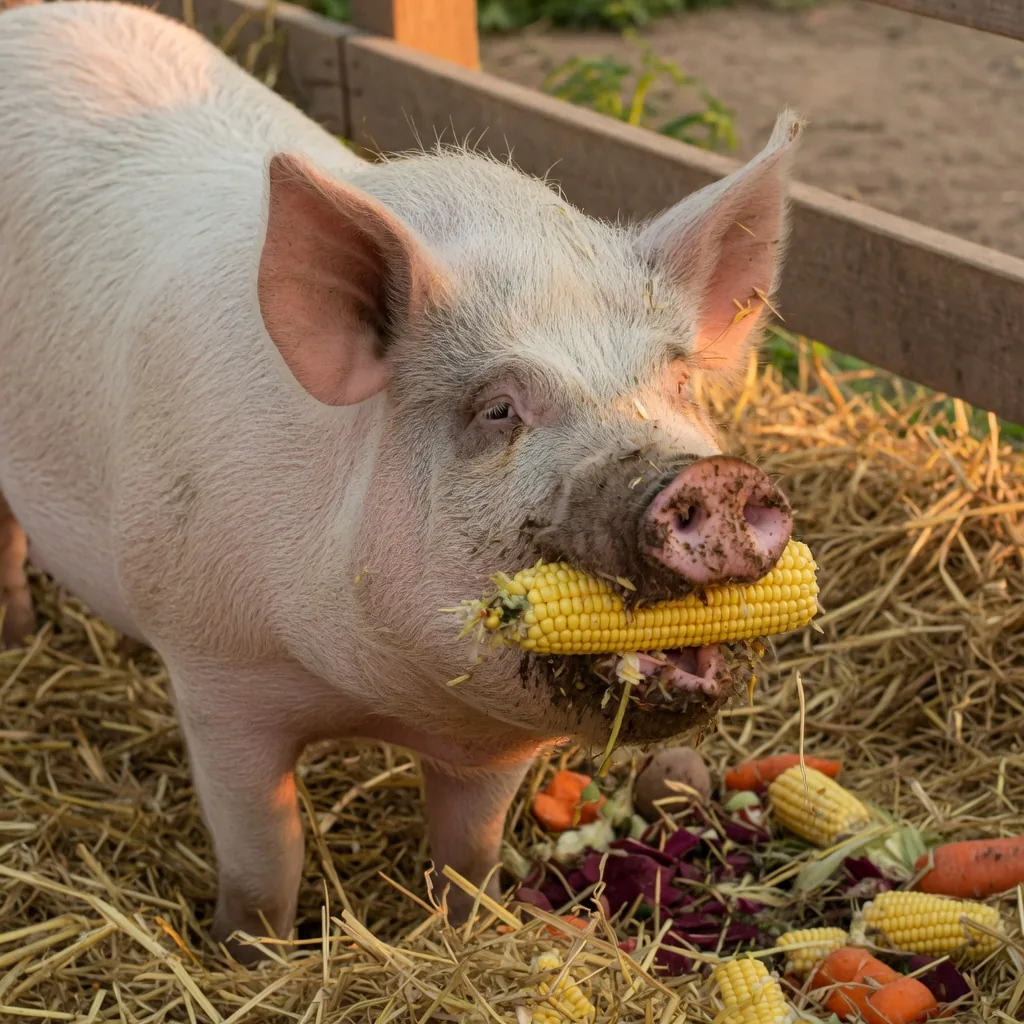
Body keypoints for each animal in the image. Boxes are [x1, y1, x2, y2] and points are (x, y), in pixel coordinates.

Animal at [0, 0, 801, 961]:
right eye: (497, 409)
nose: (709, 478)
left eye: (679, 384)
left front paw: (463, 933)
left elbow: (469, 851)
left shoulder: (494, 746)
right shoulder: (214, 671)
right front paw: (250, 955)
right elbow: (266, 853)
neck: (374, 695)